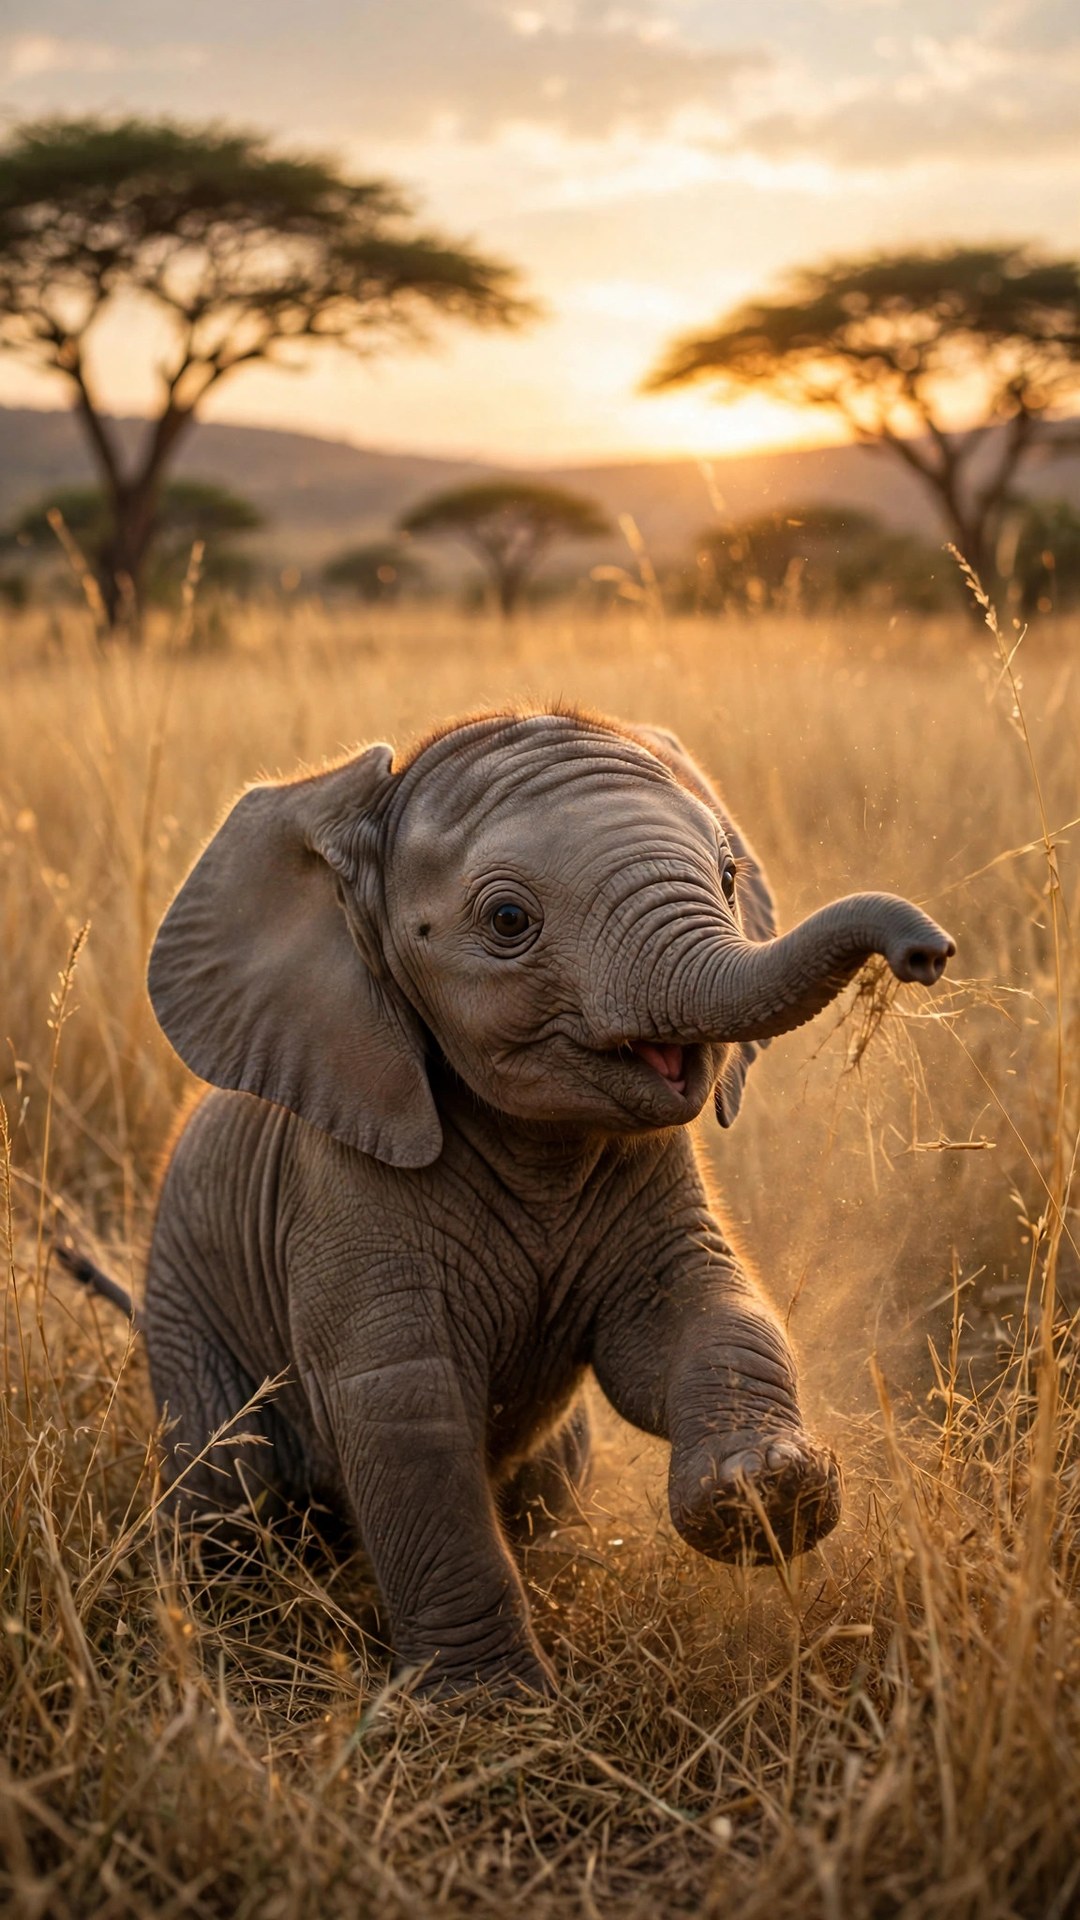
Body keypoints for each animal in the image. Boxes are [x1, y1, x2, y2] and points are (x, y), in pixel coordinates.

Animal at [138, 708, 953, 1698]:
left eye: (727, 877)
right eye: (508, 921)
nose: (927, 954)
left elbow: (698, 1315)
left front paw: (765, 1496)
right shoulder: (339, 1186)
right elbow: (403, 1407)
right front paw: (493, 1711)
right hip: (184, 1323)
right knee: (228, 1493)